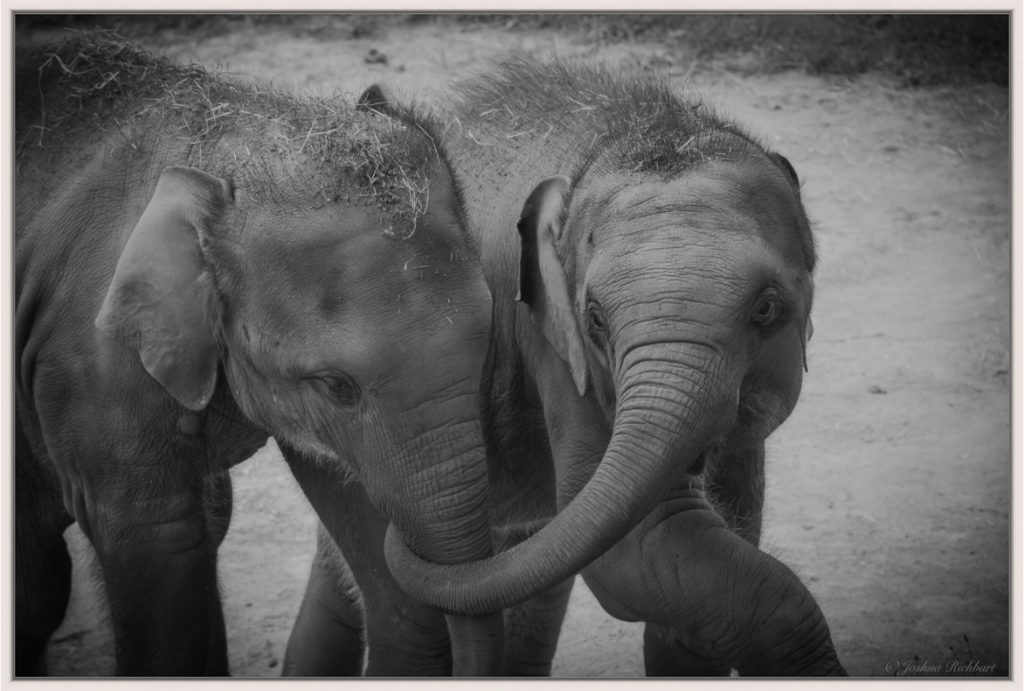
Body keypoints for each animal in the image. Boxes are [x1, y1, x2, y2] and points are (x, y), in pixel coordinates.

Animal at [14, 34, 500, 676]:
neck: (227, 141)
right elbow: (161, 549)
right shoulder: (94, 372)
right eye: (336, 386)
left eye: (490, 341)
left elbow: (364, 526)